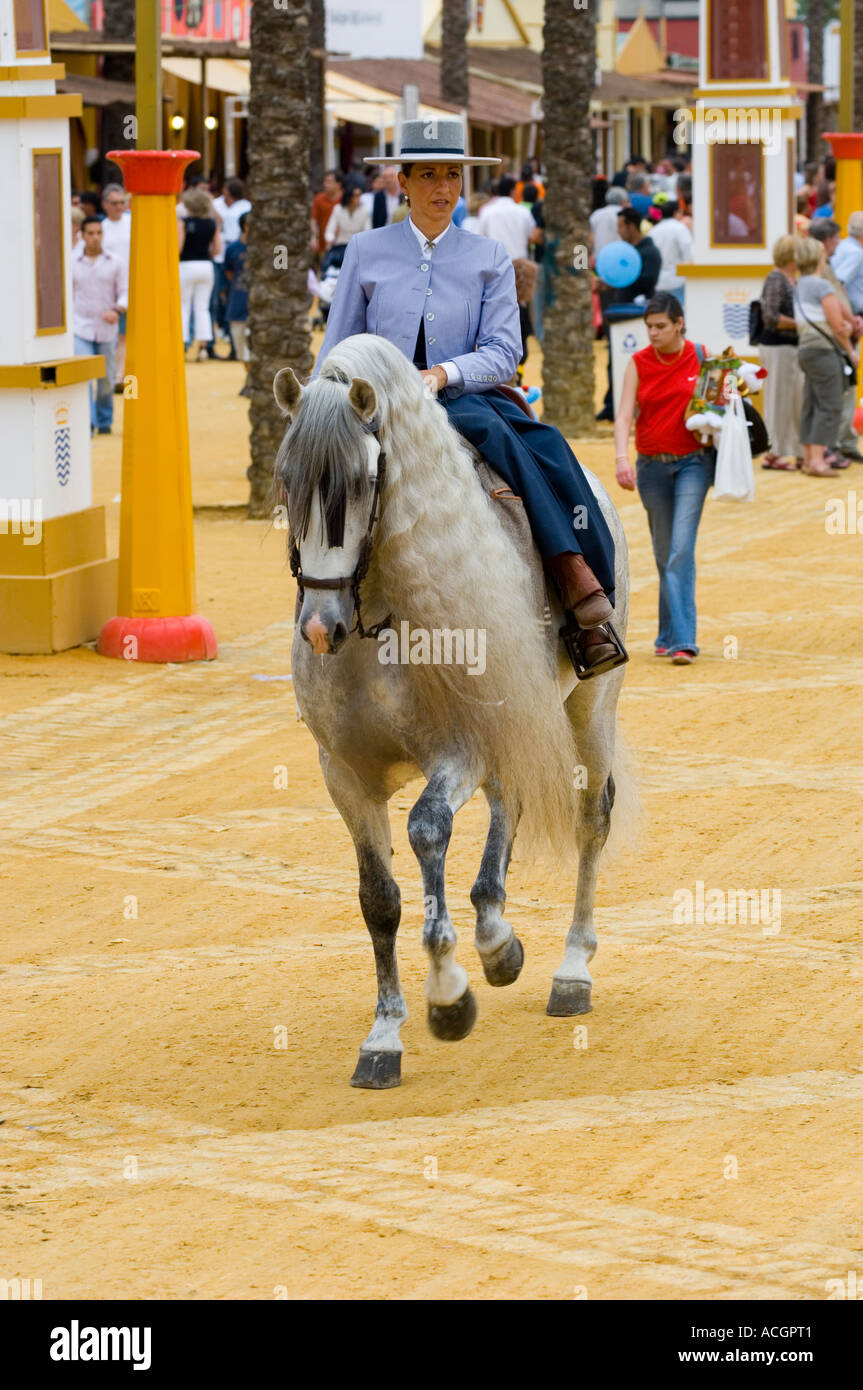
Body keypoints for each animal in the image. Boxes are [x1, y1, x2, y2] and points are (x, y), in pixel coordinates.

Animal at [274, 333, 634, 1089]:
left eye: (362, 483)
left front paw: (447, 992)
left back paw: (570, 969)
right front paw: (384, 1035)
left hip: (590, 708)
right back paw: (495, 935)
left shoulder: (459, 749)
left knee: (590, 818)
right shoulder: (343, 776)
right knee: (510, 800)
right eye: (287, 479)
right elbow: (378, 898)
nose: (320, 626)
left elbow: (426, 827)